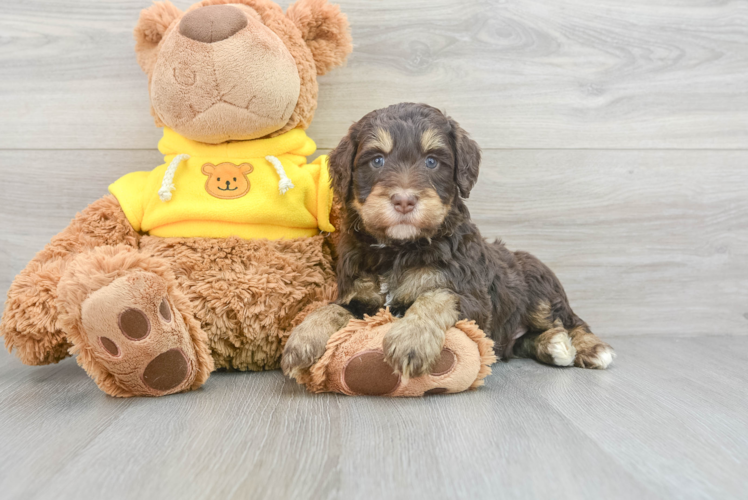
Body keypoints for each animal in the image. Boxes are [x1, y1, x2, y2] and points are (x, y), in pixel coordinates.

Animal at [280, 103, 612, 380]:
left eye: (431, 161)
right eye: (376, 160)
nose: (403, 200)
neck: (398, 249)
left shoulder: (473, 300)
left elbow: (437, 295)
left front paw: (411, 339)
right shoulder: (359, 297)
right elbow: (331, 308)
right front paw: (302, 340)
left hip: (538, 285)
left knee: (570, 320)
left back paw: (590, 348)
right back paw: (553, 345)